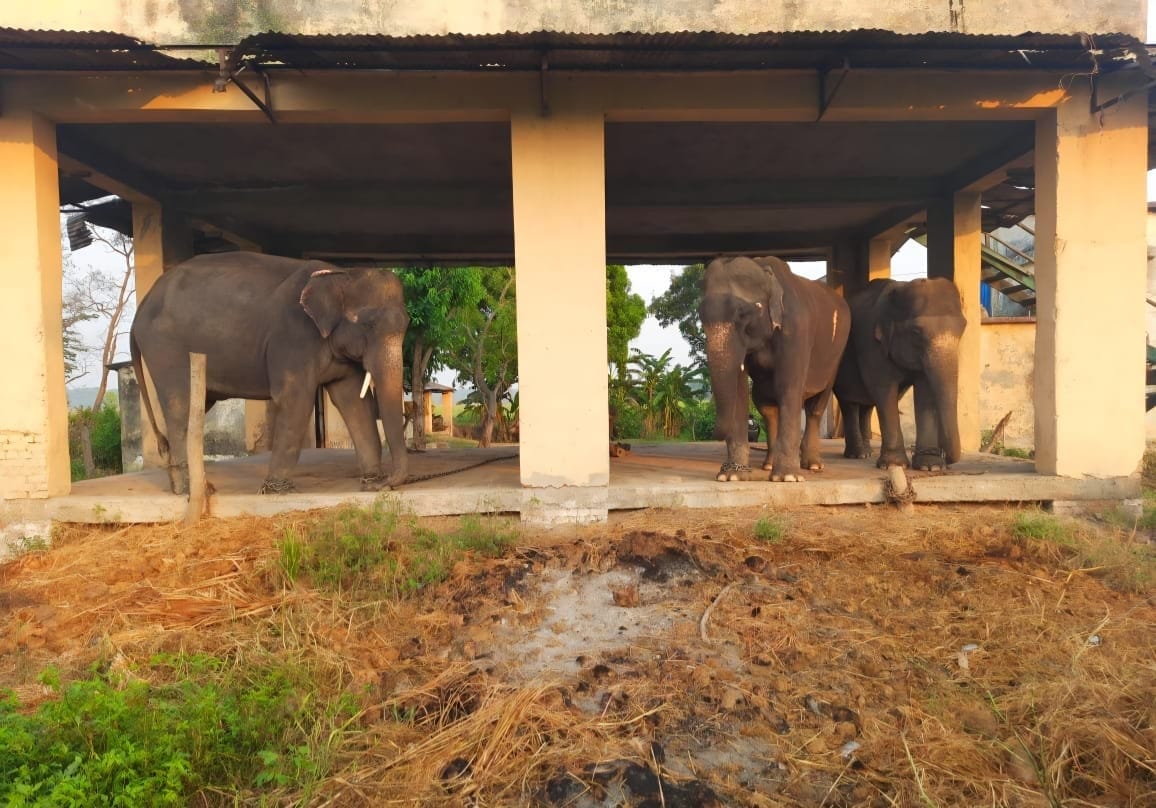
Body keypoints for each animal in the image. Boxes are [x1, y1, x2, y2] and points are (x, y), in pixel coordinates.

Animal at [130, 252, 409, 495]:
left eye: (406, 325)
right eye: (368, 325)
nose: (386, 484)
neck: (341, 273)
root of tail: (140, 308)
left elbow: (353, 401)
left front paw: (370, 483)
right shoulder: (292, 337)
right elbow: (295, 398)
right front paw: (275, 490)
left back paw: (182, 487)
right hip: (165, 348)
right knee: (181, 404)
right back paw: (194, 489)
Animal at [700, 255, 851, 482]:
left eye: (743, 314)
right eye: (701, 317)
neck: (765, 271)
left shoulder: (797, 330)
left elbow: (789, 387)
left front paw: (788, 478)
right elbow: (740, 389)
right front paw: (731, 476)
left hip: (837, 355)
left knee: (815, 407)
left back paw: (813, 466)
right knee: (767, 408)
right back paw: (769, 465)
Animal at [833, 277, 967, 471]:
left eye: (963, 329)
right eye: (916, 332)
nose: (946, 460)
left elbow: (924, 392)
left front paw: (930, 466)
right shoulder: (871, 344)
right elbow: (883, 390)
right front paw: (893, 465)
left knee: (866, 405)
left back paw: (867, 452)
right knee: (849, 403)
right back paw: (857, 454)